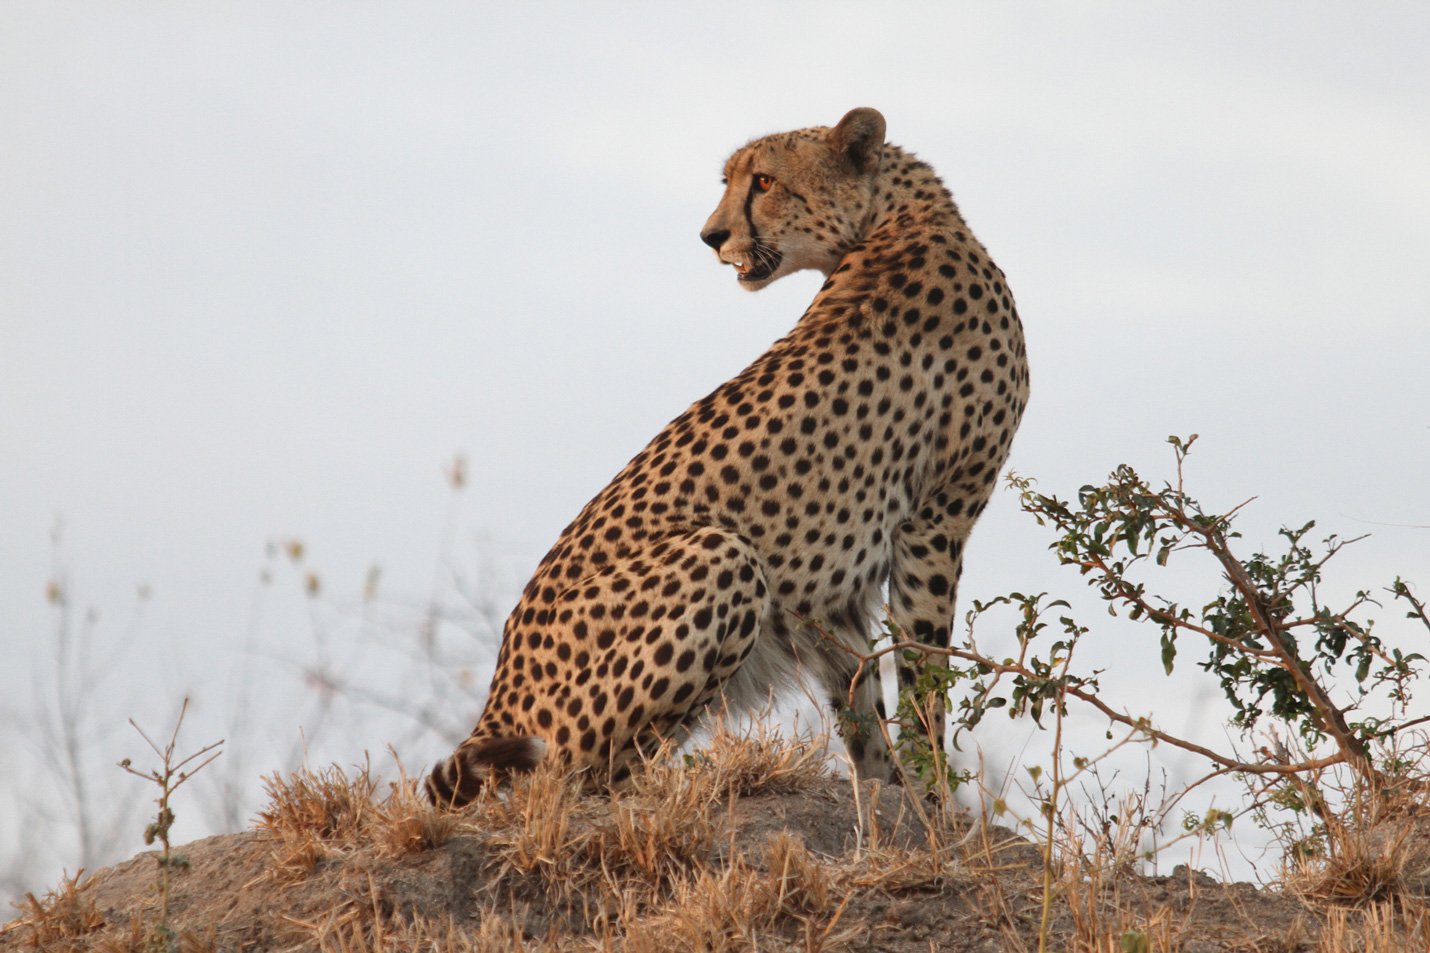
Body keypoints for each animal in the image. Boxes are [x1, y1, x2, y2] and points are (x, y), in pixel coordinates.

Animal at [424, 107, 1029, 806]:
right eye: (733, 181)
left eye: (763, 181)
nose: (710, 236)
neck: (900, 216)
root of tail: (496, 697)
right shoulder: (936, 521)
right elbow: (925, 674)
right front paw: (936, 805)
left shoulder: (834, 588)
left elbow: (862, 703)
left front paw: (890, 795)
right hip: (724, 554)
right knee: (579, 780)